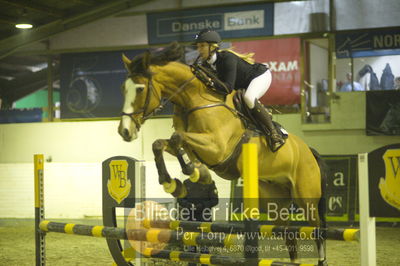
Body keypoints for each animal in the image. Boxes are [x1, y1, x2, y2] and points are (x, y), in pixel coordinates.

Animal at [117, 42, 326, 264]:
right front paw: (174, 183)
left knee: (317, 229)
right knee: (289, 235)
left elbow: (178, 138)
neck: (193, 98)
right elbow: (163, 144)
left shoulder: (217, 147)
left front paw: (193, 172)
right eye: (123, 89)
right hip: (275, 200)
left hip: (306, 197)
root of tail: (309, 151)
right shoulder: (192, 143)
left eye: (140, 89)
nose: (125, 131)